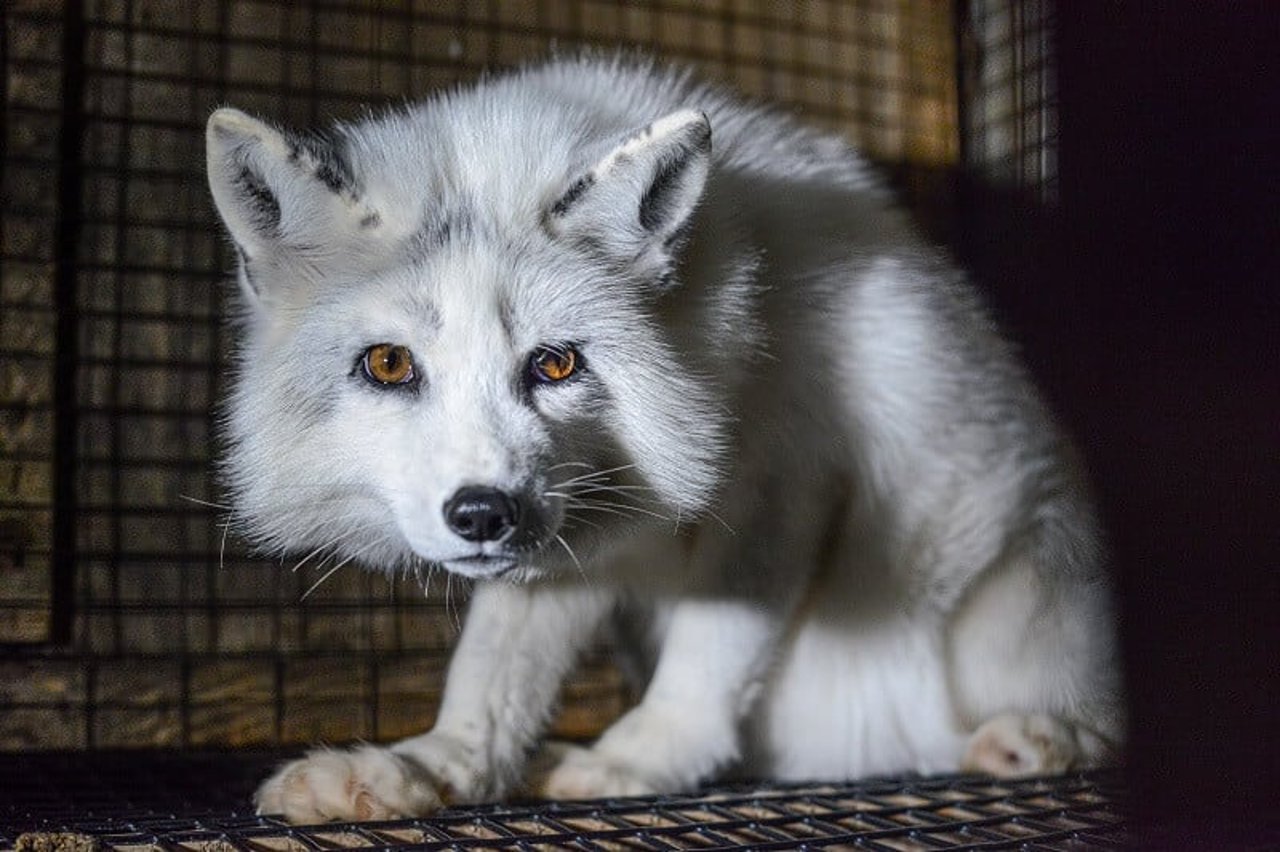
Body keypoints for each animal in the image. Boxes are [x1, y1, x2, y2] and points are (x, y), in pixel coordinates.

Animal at [204, 56, 1116, 818]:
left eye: (556, 364)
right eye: (390, 364)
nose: (483, 513)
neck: (721, 341)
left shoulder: (788, 481)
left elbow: (709, 658)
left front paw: (637, 760)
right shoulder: (569, 530)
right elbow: (490, 674)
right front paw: (432, 767)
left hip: (1024, 589)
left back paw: (1044, 736)